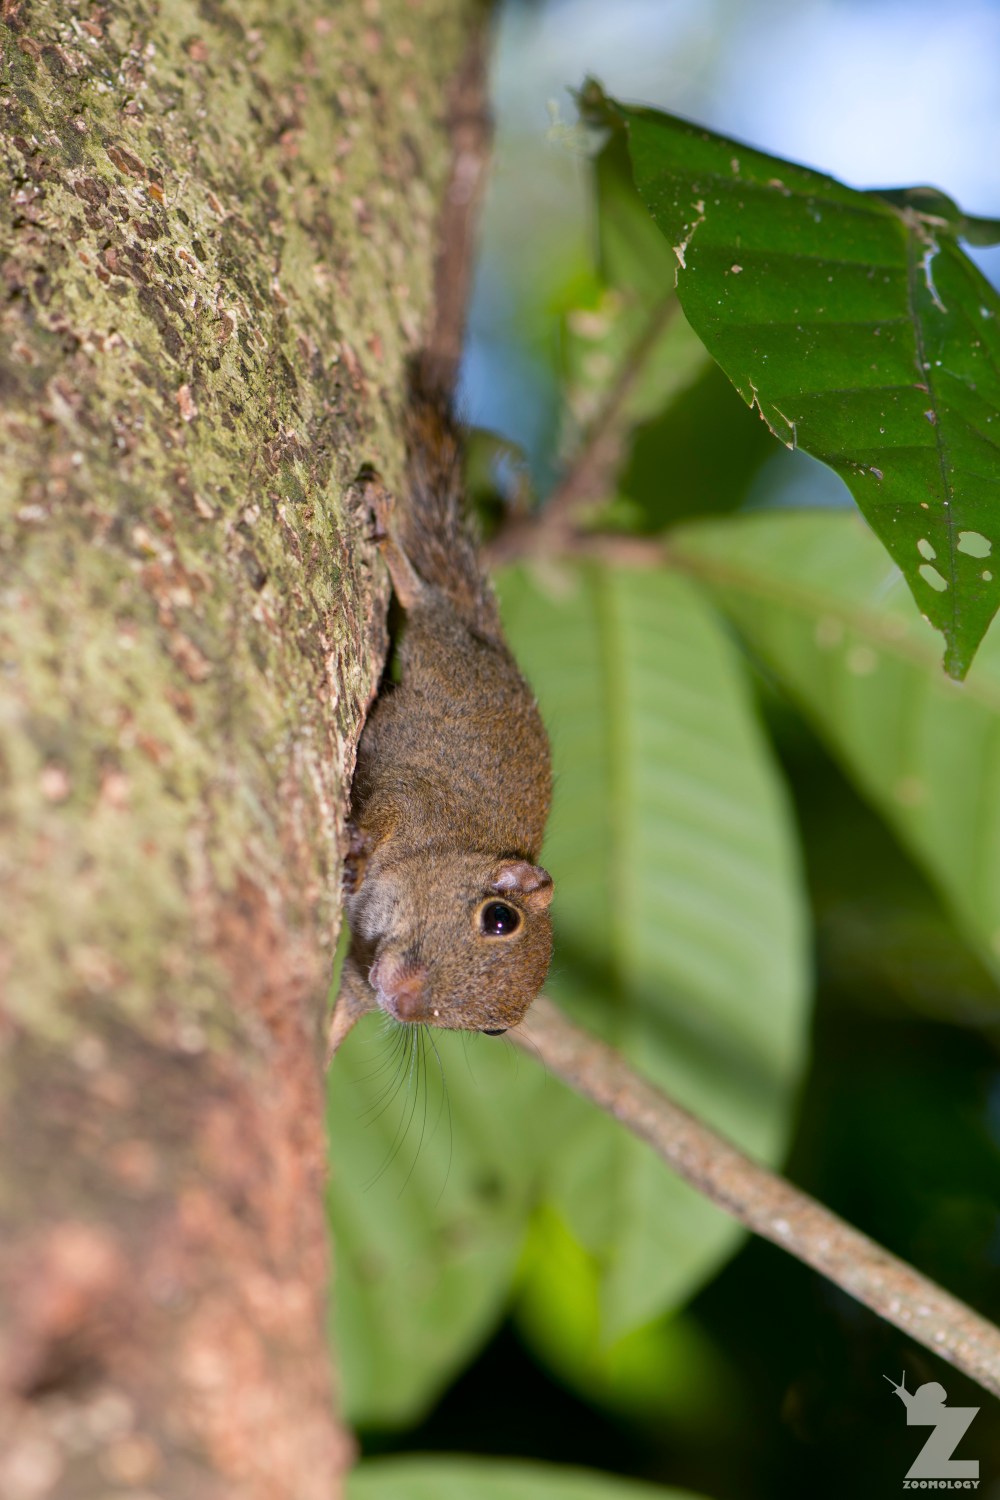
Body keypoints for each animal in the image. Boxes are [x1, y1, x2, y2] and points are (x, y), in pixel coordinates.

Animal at [326, 365, 554, 1060]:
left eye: (495, 1027)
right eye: (499, 918)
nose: (404, 1002)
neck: (444, 854)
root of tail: (495, 643)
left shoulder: (361, 969)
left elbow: (343, 1010)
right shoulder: (416, 802)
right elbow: (384, 810)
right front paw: (358, 851)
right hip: (449, 649)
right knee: (424, 601)